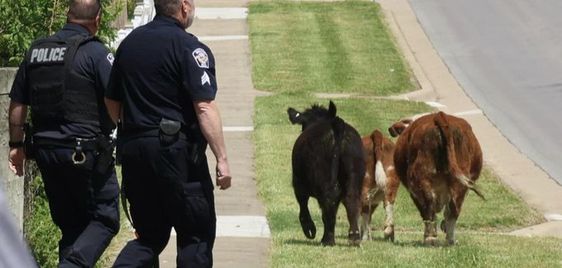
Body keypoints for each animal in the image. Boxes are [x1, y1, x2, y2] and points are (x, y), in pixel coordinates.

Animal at [286, 101, 366, 247]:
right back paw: (354, 238)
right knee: (351, 200)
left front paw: (309, 229)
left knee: (329, 203)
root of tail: (337, 125)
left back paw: (327, 240)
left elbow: (303, 206)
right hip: (354, 173)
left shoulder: (298, 184)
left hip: (323, 178)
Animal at [390, 112, 482, 246]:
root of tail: (441, 116)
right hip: (460, 182)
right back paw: (450, 239)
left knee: (429, 208)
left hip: (418, 179)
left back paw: (430, 238)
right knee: (453, 210)